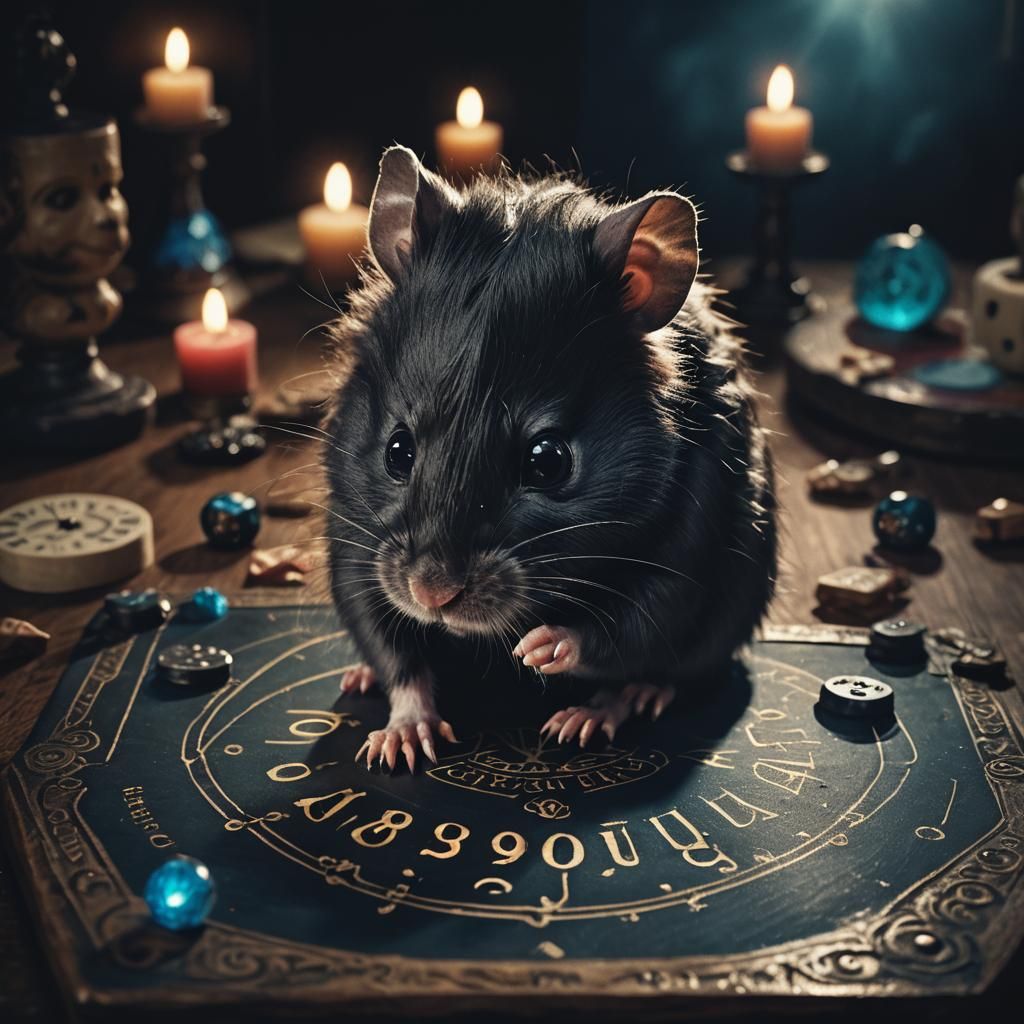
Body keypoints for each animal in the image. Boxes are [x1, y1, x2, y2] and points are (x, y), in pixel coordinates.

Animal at [323, 145, 776, 772]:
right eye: (397, 450)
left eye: (548, 461)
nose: (432, 596)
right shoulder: (354, 542)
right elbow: (392, 648)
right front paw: (403, 732)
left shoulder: (694, 535)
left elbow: (634, 625)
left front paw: (546, 645)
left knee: (650, 668)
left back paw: (604, 708)